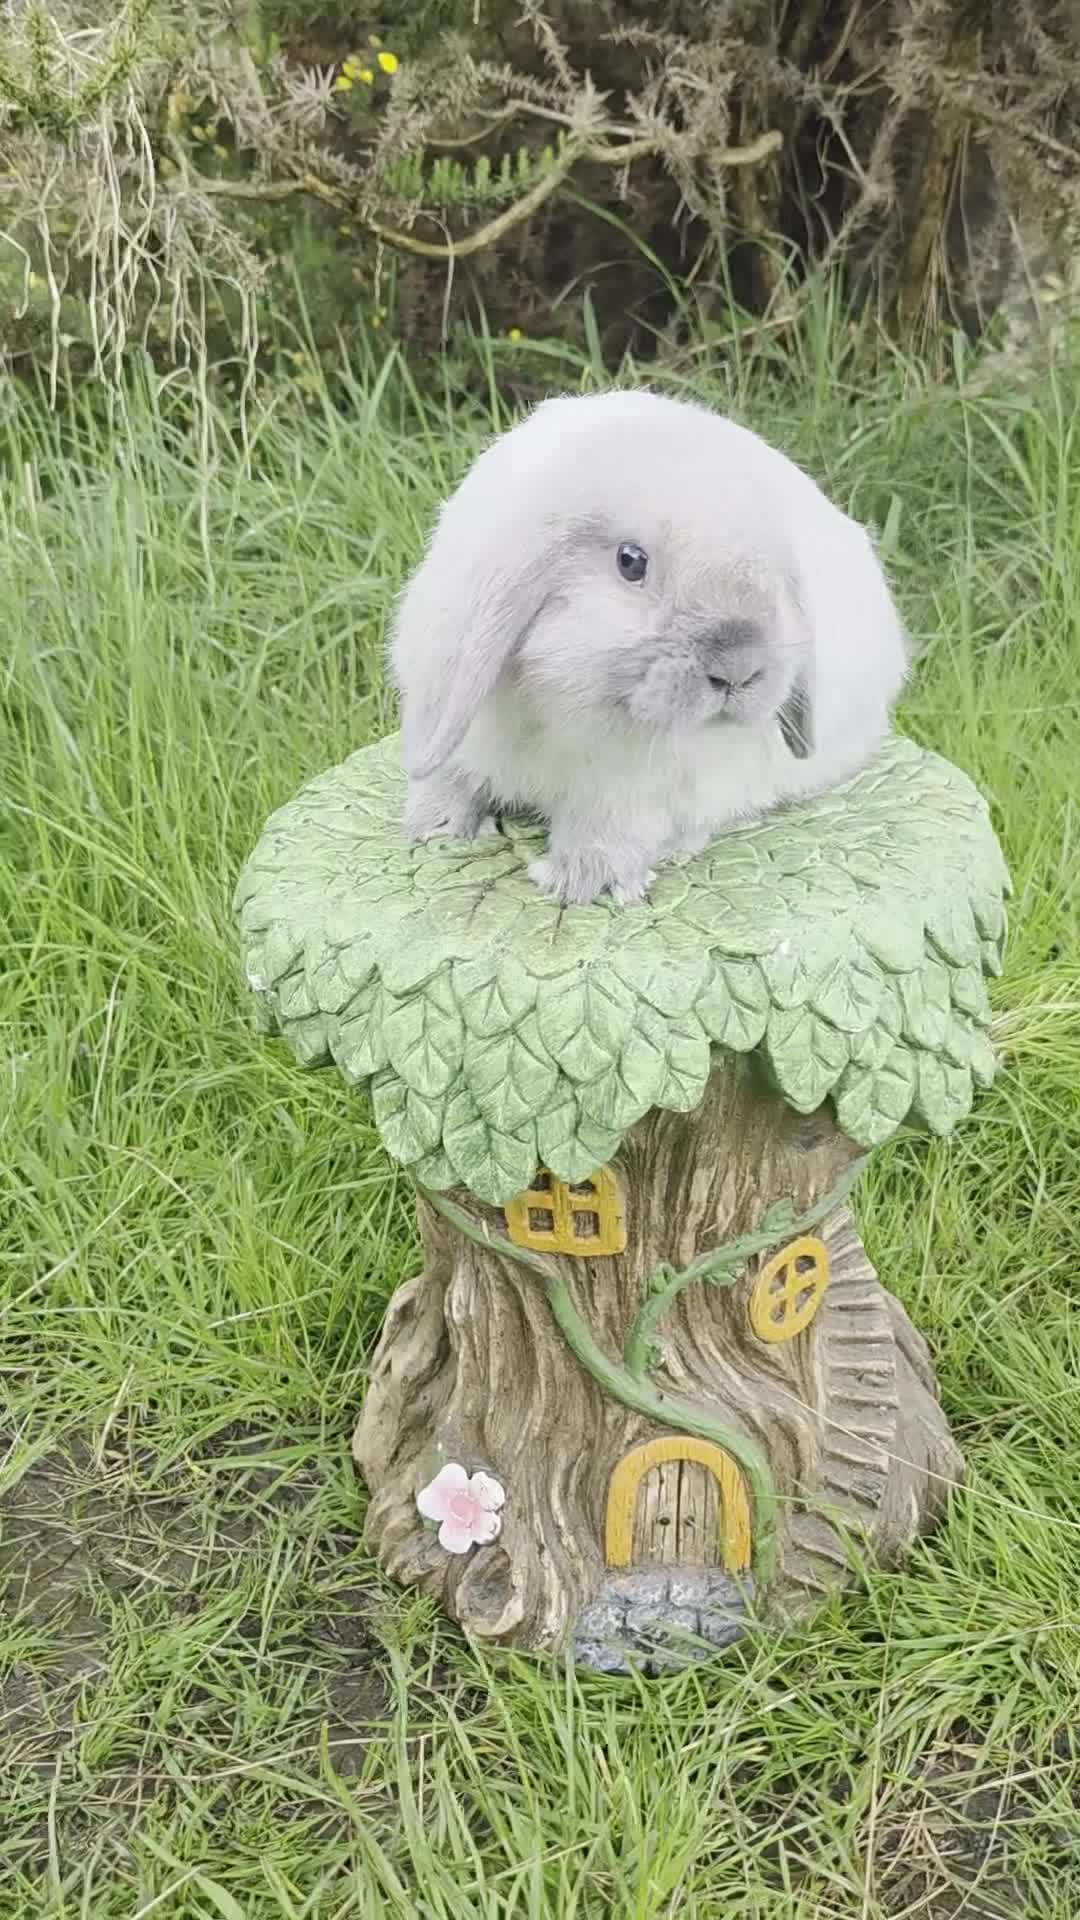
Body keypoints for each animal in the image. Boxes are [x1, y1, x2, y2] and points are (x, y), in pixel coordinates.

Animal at [391, 388, 910, 906]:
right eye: (630, 562)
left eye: (773, 578)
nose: (739, 669)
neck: (561, 714)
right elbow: (451, 775)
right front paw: (434, 825)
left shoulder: (646, 790)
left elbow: (612, 825)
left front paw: (580, 878)